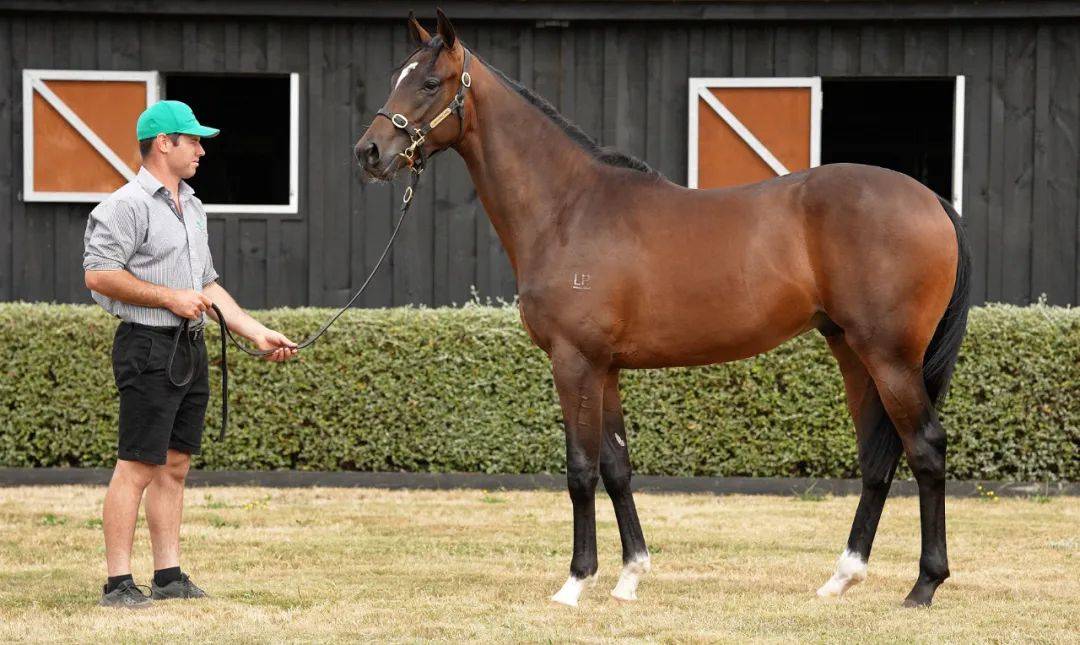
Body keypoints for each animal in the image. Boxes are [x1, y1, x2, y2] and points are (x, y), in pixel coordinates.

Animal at [355, 10, 971, 609]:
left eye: (430, 83)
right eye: (396, 78)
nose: (369, 152)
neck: (568, 209)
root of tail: (931, 199)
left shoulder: (573, 362)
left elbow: (580, 470)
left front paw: (575, 582)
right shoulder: (604, 368)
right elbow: (617, 467)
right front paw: (629, 577)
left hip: (890, 357)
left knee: (925, 448)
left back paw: (923, 586)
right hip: (852, 351)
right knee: (877, 457)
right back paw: (841, 578)